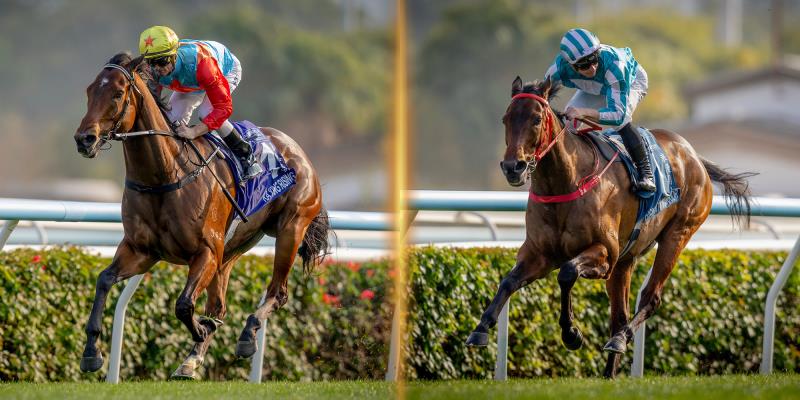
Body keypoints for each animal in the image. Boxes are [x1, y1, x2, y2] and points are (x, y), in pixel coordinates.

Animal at [73, 52, 331, 380]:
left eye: (118, 93)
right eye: (89, 91)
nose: (84, 139)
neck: (165, 175)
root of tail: (297, 150)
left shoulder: (205, 252)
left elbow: (183, 305)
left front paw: (201, 330)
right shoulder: (142, 251)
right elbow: (104, 280)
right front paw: (91, 353)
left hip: (291, 228)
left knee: (278, 293)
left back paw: (246, 336)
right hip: (233, 248)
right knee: (219, 305)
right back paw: (193, 357)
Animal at [465, 77, 754, 378]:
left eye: (536, 119)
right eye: (506, 118)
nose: (513, 167)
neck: (566, 182)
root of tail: (694, 156)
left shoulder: (604, 254)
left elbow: (567, 273)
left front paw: (571, 334)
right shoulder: (539, 254)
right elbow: (508, 281)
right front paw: (480, 330)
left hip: (678, 235)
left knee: (650, 299)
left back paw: (620, 339)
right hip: (626, 259)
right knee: (619, 315)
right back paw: (609, 371)